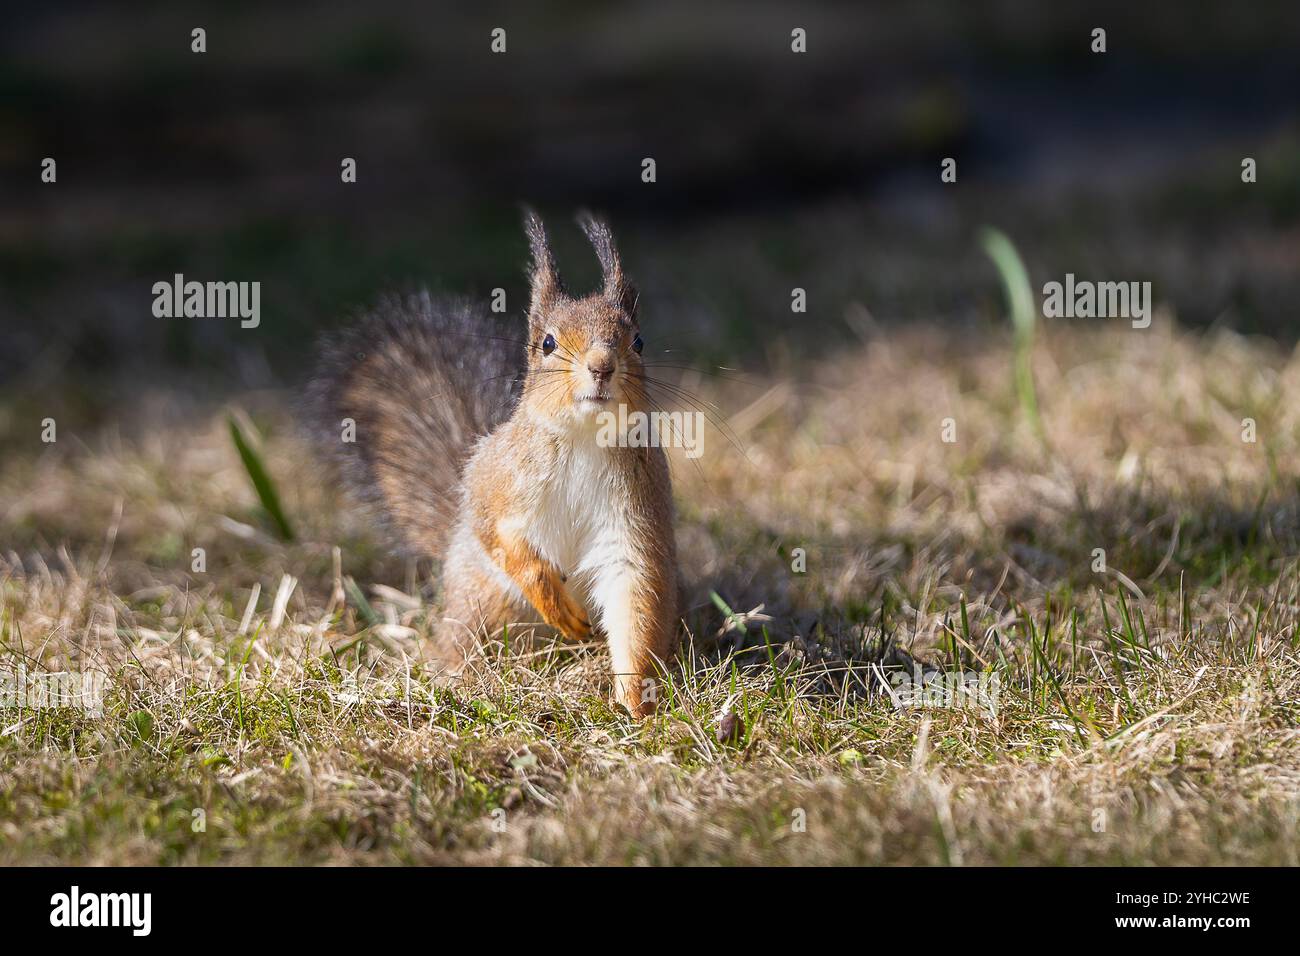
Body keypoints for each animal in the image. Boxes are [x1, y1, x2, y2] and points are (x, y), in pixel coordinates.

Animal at [307, 210, 679, 717]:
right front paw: (554, 600)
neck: (585, 438)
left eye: (638, 342)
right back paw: (463, 675)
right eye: (547, 343)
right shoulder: (496, 480)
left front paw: (634, 703)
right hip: (483, 601)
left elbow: (634, 602)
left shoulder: (636, 516)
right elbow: (499, 534)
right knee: (463, 639)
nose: (602, 366)